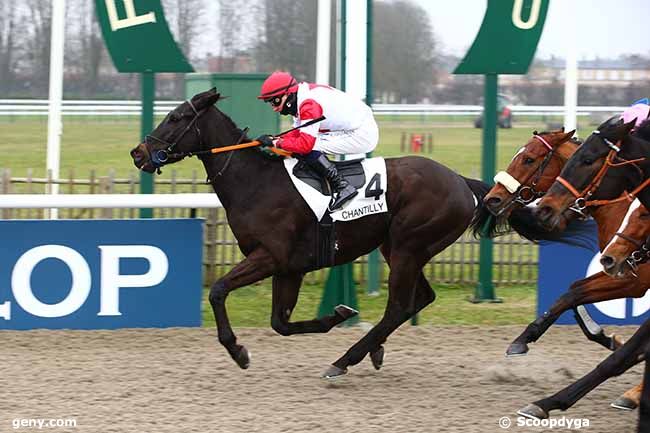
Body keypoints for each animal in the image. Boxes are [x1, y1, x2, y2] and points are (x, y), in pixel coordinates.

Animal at [130, 88, 552, 378]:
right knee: (419, 299)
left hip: (408, 247)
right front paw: (336, 314)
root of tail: (462, 182)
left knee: (399, 305)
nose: (138, 153)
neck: (257, 182)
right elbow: (280, 324)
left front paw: (237, 350)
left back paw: (346, 359)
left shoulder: (270, 257)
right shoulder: (290, 268)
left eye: (175, 117)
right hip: (399, 249)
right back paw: (372, 350)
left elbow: (218, 291)